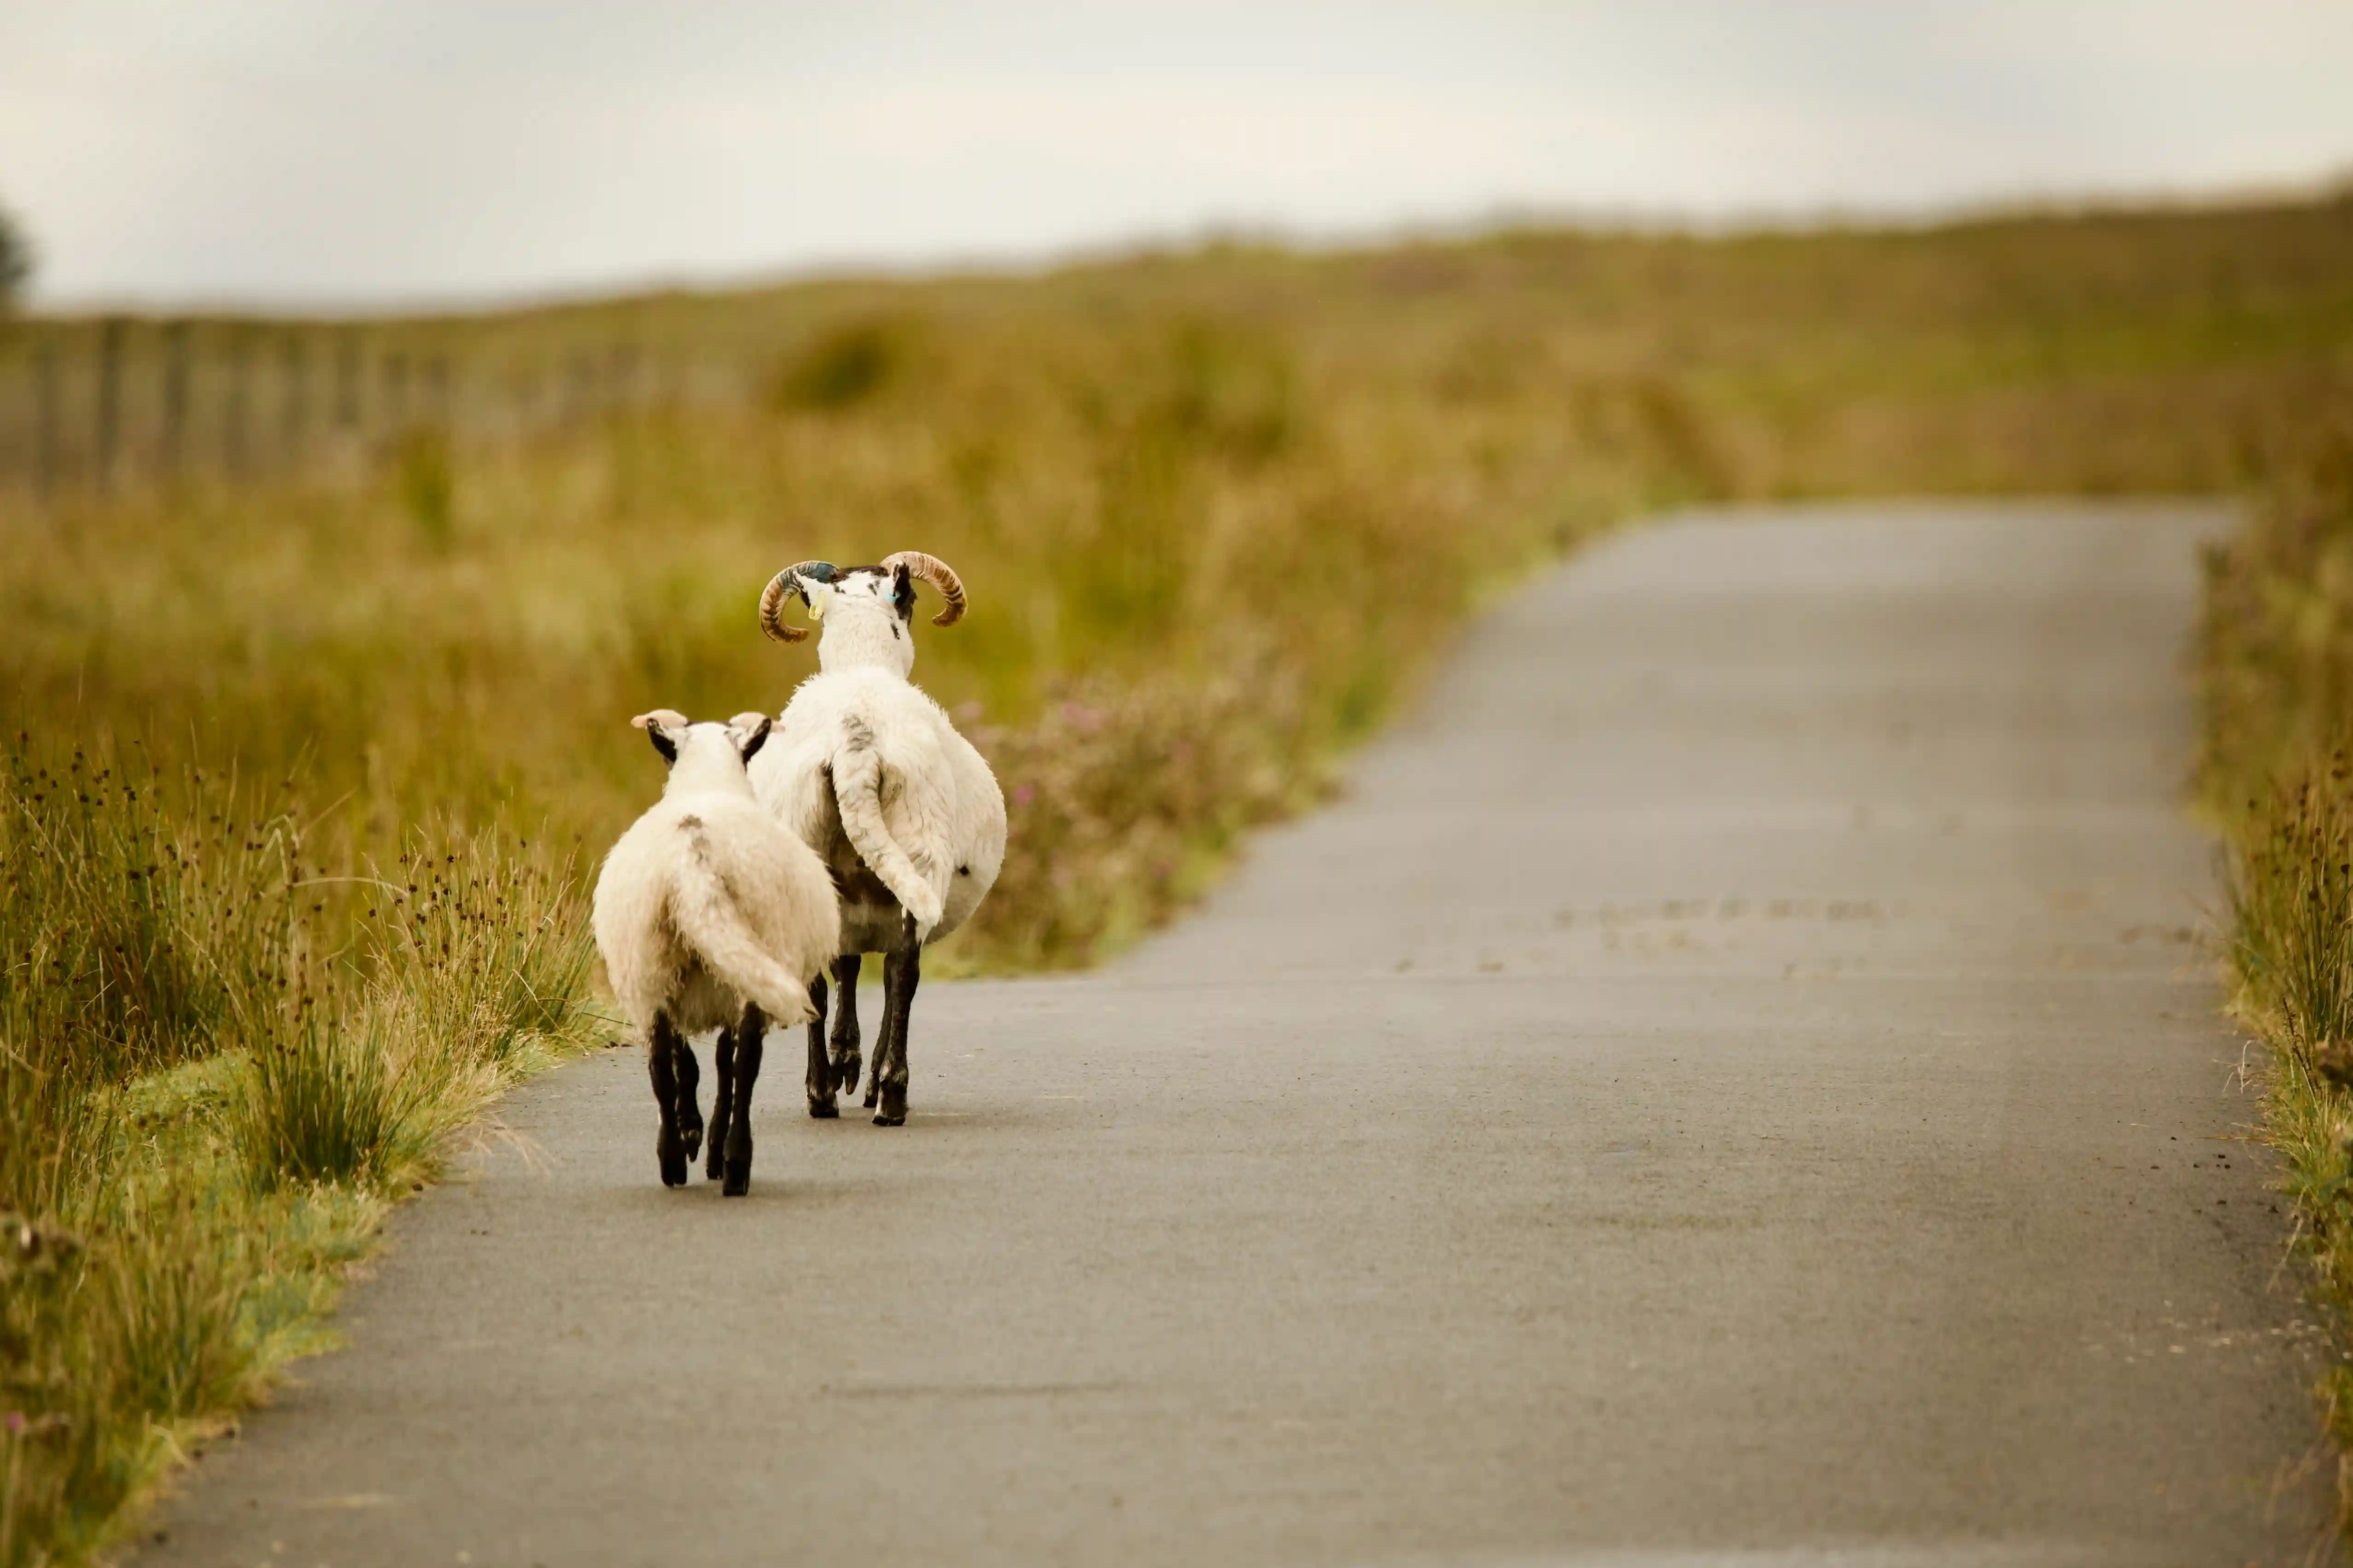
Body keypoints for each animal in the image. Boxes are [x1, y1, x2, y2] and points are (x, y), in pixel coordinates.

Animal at [591, 709, 842, 1194]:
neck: (707, 781)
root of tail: (694, 851)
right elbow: (719, 1062)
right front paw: (703, 1142)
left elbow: (690, 1063)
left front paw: (693, 1133)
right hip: (738, 962)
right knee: (742, 1065)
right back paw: (730, 1161)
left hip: (653, 965)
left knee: (661, 1064)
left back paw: (675, 1159)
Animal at [747, 551, 1007, 1127]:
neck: (862, 665)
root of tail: (856, 742)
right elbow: (877, 976)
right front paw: (857, 1069)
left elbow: (848, 971)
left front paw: (847, 1060)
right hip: (919, 849)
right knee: (902, 973)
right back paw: (886, 1094)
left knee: (826, 980)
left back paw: (827, 1092)